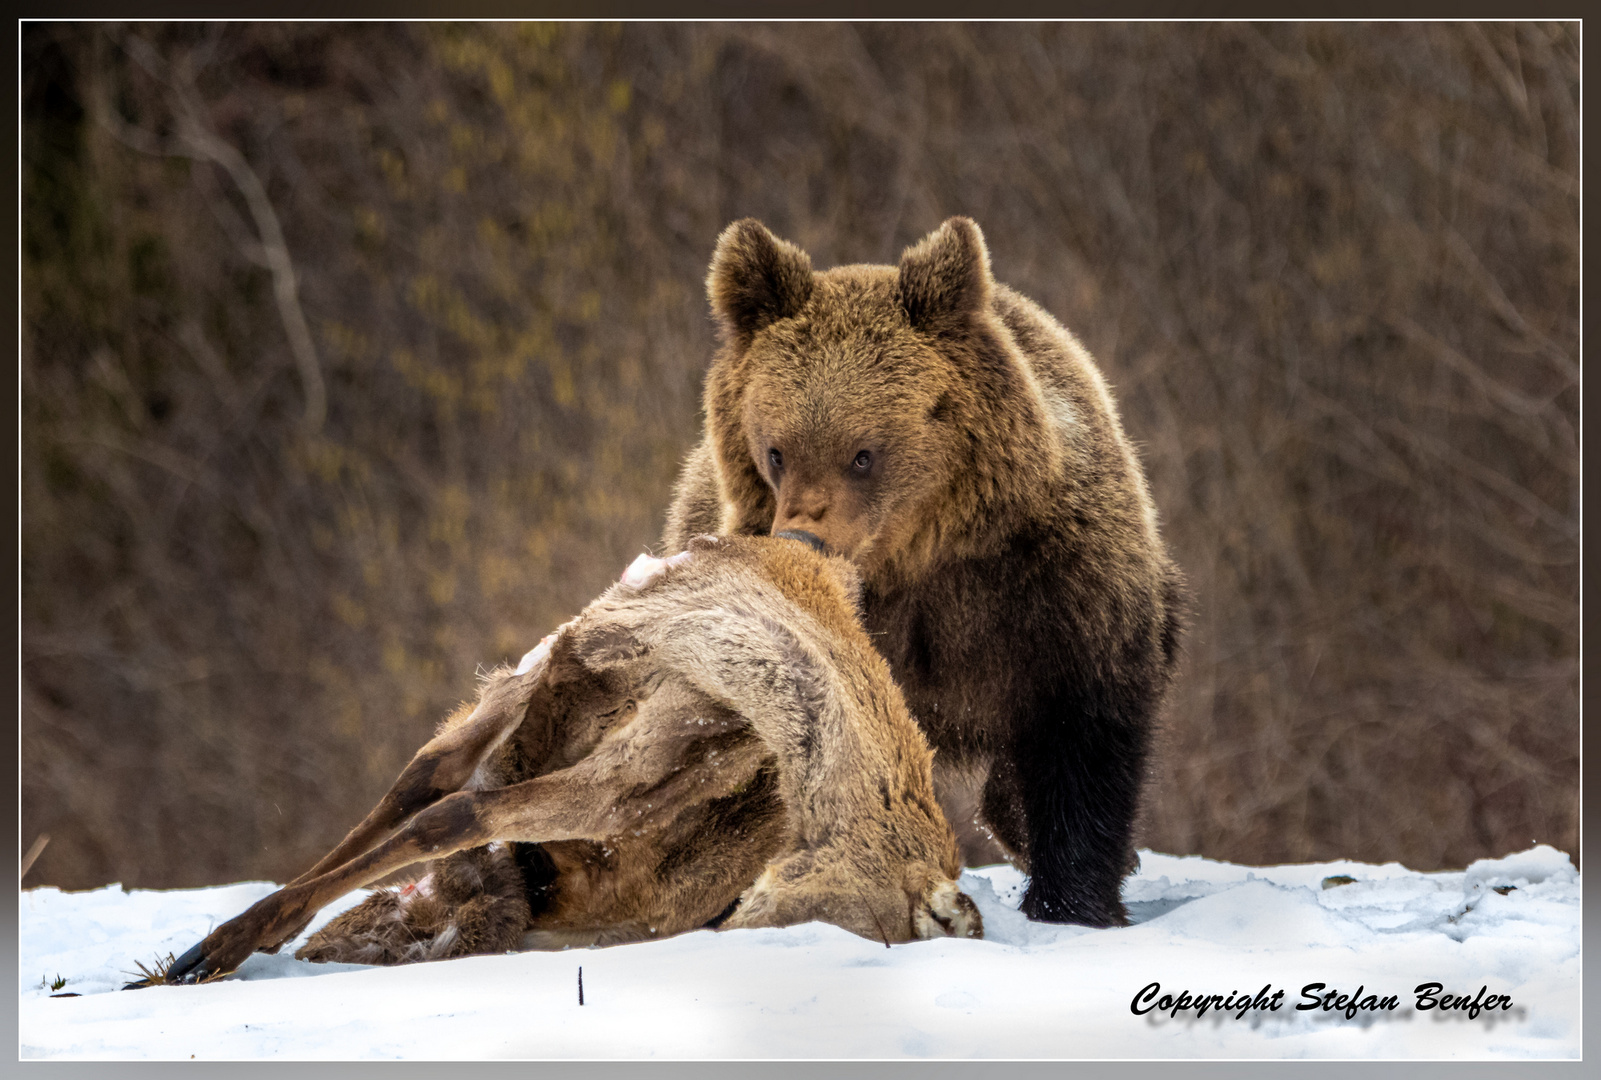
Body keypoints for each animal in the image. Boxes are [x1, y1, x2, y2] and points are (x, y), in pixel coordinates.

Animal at [666, 217, 1191, 928]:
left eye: (863, 453)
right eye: (776, 450)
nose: (802, 537)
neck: (916, 555)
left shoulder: (1052, 581)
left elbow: (1083, 727)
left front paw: (1072, 899)